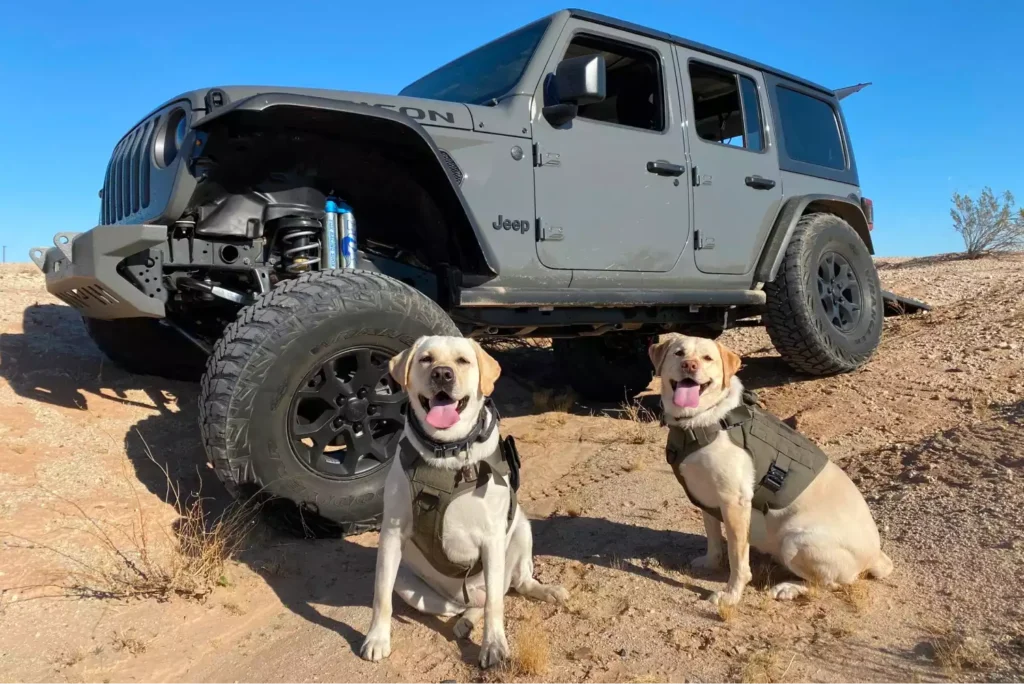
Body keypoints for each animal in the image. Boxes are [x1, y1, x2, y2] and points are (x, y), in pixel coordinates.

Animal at [360, 335, 569, 667]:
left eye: (462, 361)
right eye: (426, 359)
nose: (442, 374)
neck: (446, 451)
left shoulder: (493, 537)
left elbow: (496, 606)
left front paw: (493, 646)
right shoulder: (392, 532)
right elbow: (381, 596)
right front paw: (377, 638)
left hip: (522, 531)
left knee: (511, 588)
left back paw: (547, 591)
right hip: (411, 586)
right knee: (468, 606)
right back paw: (465, 621)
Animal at [651, 333, 892, 606]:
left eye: (707, 358)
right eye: (679, 353)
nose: (689, 365)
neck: (701, 421)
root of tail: (876, 555)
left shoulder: (734, 503)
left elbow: (737, 559)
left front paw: (731, 595)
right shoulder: (707, 497)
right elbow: (713, 538)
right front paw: (710, 563)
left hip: (794, 541)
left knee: (828, 584)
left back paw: (789, 588)